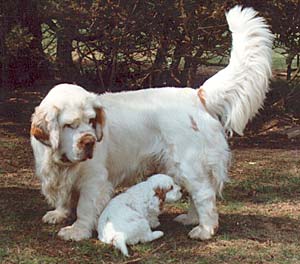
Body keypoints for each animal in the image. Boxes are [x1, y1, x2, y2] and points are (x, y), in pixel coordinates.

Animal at [31, 6, 274, 241]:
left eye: (91, 121)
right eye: (69, 125)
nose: (90, 142)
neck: (61, 160)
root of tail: (197, 95)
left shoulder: (94, 180)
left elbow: (84, 207)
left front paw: (77, 231)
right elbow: (63, 198)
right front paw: (59, 214)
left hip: (189, 163)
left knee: (204, 194)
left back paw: (204, 229)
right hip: (177, 166)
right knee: (196, 194)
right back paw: (190, 219)